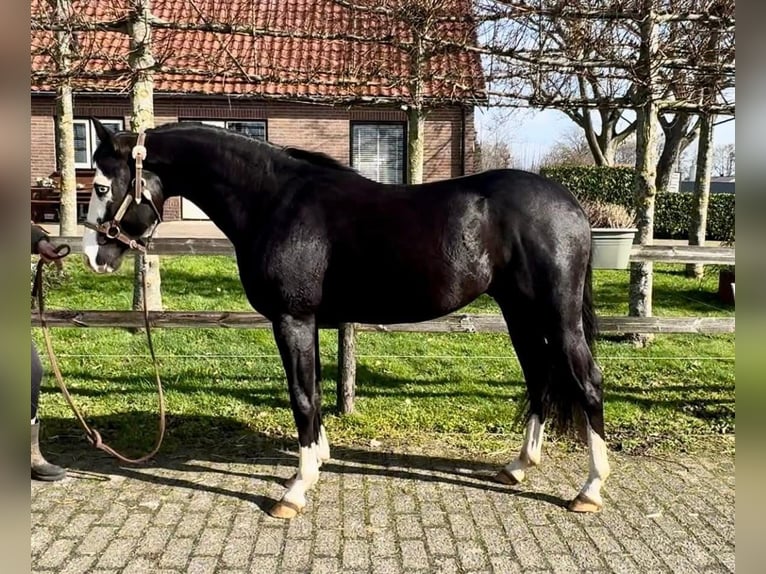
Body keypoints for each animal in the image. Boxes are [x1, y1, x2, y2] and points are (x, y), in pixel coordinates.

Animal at [82, 118, 609, 519]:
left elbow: (301, 397)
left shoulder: (292, 319)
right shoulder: (309, 323)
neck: (273, 202)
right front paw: (318, 461)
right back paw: (518, 467)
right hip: (520, 314)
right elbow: (314, 391)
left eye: (102, 186)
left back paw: (589, 489)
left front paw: (294, 490)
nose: (93, 257)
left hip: (558, 318)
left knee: (587, 383)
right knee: (539, 377)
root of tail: (572, 205)